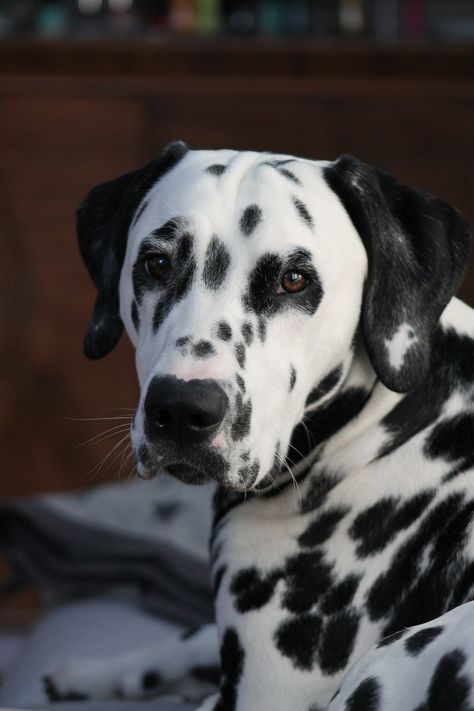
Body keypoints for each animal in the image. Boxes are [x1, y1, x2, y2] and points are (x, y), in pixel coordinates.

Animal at [44, 140, 474, 711]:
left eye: (294, 279)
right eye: (156, 263)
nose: (182, 409)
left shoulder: (259, 697)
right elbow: (193, 636)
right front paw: (93, 672)